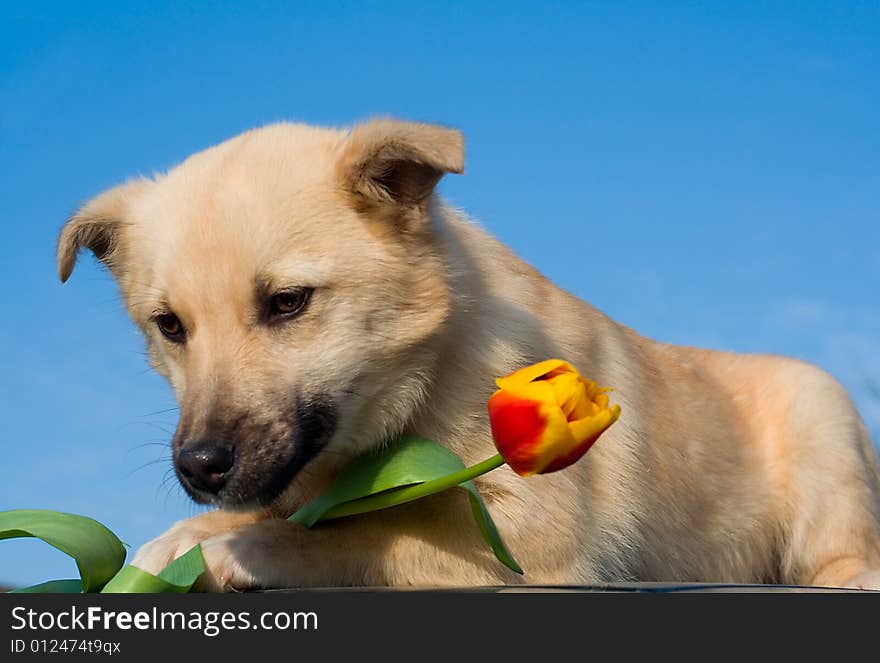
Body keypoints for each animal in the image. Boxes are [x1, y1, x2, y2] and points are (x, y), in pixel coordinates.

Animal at [55, 119, 880, 592]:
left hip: (822, 414)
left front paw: (248, 549)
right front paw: (175, 546)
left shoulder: (530, 547)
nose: (199, 467)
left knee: (848, 559)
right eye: (169, 326)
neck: (425, 380)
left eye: (287, 302)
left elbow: (373, 534)